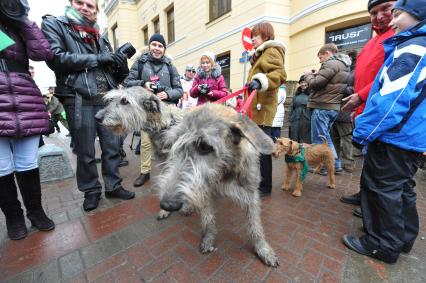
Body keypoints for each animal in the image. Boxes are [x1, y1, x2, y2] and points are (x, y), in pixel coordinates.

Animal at [97, 89, 280, 268]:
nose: (97, 117)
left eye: (124, 101)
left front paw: (262, 249)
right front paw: (207, 236)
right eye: (111, 99)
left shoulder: (250, 192)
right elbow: (207, 217)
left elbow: (254, 224)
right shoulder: (174, 169)